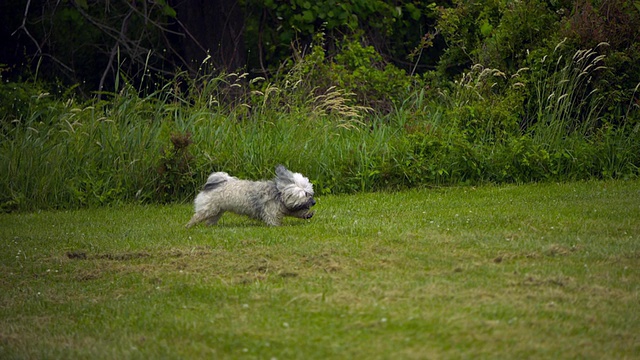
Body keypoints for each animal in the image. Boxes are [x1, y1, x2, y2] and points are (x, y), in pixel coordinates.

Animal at [185, 165, 316, 226]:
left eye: (310, 193)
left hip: (216, 212)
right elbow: (273, 220)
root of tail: (213, 184)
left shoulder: (287, 207)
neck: (279, 193)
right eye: (305, 194)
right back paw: (189, 226)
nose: (314, 202)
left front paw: (307, 214)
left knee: (209, 221)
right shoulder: (271, 211)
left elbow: (297, 212)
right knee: (196, 216)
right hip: (208, 209)